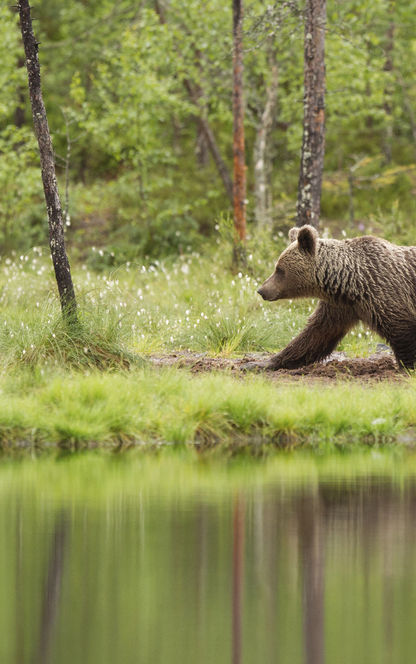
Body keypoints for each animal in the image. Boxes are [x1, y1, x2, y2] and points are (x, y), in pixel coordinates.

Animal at [249, 226, 416, 370]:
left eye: (279, 269)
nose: (261, 290)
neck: (349, 283)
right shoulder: (340, 307)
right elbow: (315, 335)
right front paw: (262, 363)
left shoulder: (384, 292)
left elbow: (401, 330)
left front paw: (407, 367)